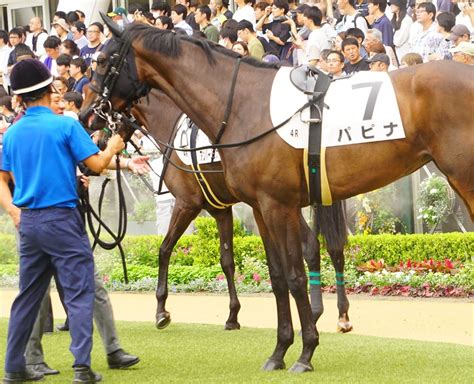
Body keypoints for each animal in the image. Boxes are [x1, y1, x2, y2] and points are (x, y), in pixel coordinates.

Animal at [81, 21, 474, 372]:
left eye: (101, 61)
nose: (86, 117)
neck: (242, 106)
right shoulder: (257, 206)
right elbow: (274, 275)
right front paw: (279, 350)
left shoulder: (259, 204)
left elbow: (291, 274)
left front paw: (306, 352)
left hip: (462, 178)